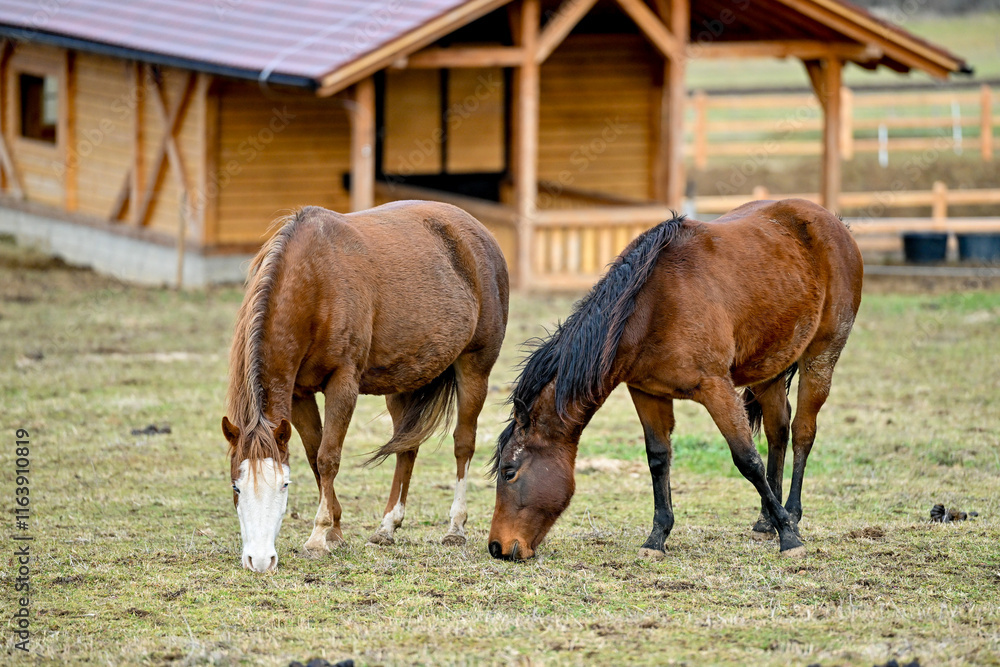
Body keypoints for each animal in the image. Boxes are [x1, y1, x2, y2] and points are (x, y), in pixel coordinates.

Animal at [222, 201, 508, 572]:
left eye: (284, 485)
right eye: (236, 487)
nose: (259, 560)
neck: (315, 281)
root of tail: (480, 233)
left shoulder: (343, 383)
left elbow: (328, 458)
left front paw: (319, 536)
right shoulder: (299, 394)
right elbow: (315, 456)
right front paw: (336, 531)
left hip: (475, 368)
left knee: (464, 444)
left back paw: (455, 527)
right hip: (403, 382)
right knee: (406, 449)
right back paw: (387, 526)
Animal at [488, 199, 862, 561]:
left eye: (509, 471)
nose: (497, 547)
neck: (649, 308)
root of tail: (834, 223)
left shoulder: (716, 388)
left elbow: (747, 459)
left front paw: (789, 538)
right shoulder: (646, 392)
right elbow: (658, 458)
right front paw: (657, 537)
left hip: (821, 355)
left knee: (802, 433)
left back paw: (791, 516)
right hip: (768, 367)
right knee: (778, 431)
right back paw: (765, 520)